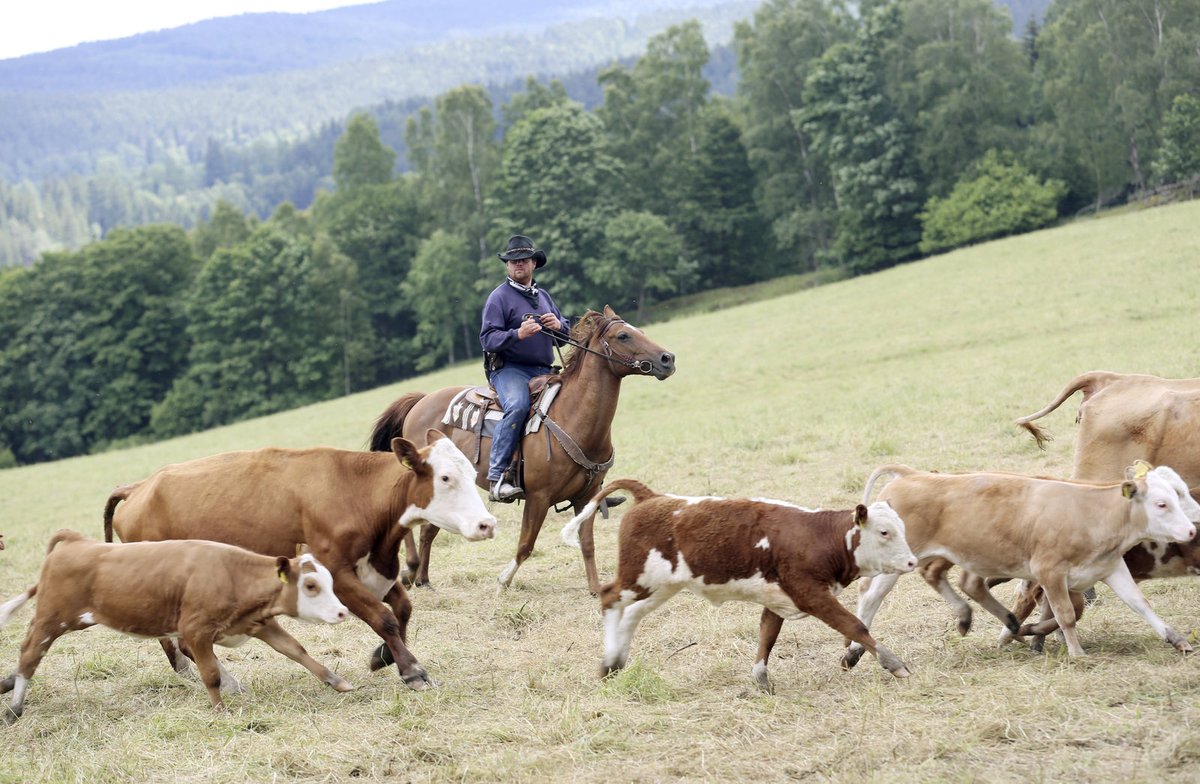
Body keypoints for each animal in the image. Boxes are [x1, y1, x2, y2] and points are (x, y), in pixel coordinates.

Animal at [0, 525, 350, 720]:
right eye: (310, 586)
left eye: (328, 581)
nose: (342, 612)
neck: (230, 573)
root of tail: (77, 542)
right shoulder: (196, 630)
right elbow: (210, 674)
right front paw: (219, 711)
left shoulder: (258, 624)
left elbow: (296, 651)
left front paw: (336, 681)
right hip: (52, 620)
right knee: (30, 654)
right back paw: (15, 708)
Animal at [105, 427, 494, 691]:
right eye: (445, 478)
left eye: (471, 473)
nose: (486, 524)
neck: (355, 491)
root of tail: (139, 487)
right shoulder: (338, 575)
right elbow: (383, 618)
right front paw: (412, 670)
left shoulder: (377, 570)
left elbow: (402, 611)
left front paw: (383, 657)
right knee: (185, 641)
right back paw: (225, 681)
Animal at [364, 302, 676, 590]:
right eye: (624, 335)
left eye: (640, 331)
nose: (668, 358)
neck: (573, 416)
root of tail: (421, 401)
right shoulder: (538, 498)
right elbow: (526, 544)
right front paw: (503, 581)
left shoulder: (586, 496)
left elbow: (587, 543)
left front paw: (596, 589)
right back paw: (409, 570)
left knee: (428, 530)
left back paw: (423, 579)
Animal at [561, 477, 916, 691]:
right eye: (884, 532)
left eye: (901, 527)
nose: (912, 562)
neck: (820, 536)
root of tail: (654, 497)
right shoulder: (811, 594)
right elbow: (854, 625)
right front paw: (894, 663)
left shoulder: (778, 599)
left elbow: (767, 637)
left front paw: (761, 679)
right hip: (637, 576)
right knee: (609, 598)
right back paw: (609, 661)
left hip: (662, 586)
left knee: (632, 614)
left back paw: (615, 662)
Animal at [844, 461, 1200, 667]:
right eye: (1162, 503)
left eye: (1178, 493)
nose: (1191, 529)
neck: (1090, 511)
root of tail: (912, 476)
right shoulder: (1049, 572)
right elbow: (1066, 615)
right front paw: (1077, 654)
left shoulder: (1109, 568)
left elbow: (1139, 604)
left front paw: (1176, 639)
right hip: (899, 559)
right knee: (871, 595)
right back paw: (854, 652)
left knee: (957, 583)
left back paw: (998, 621)